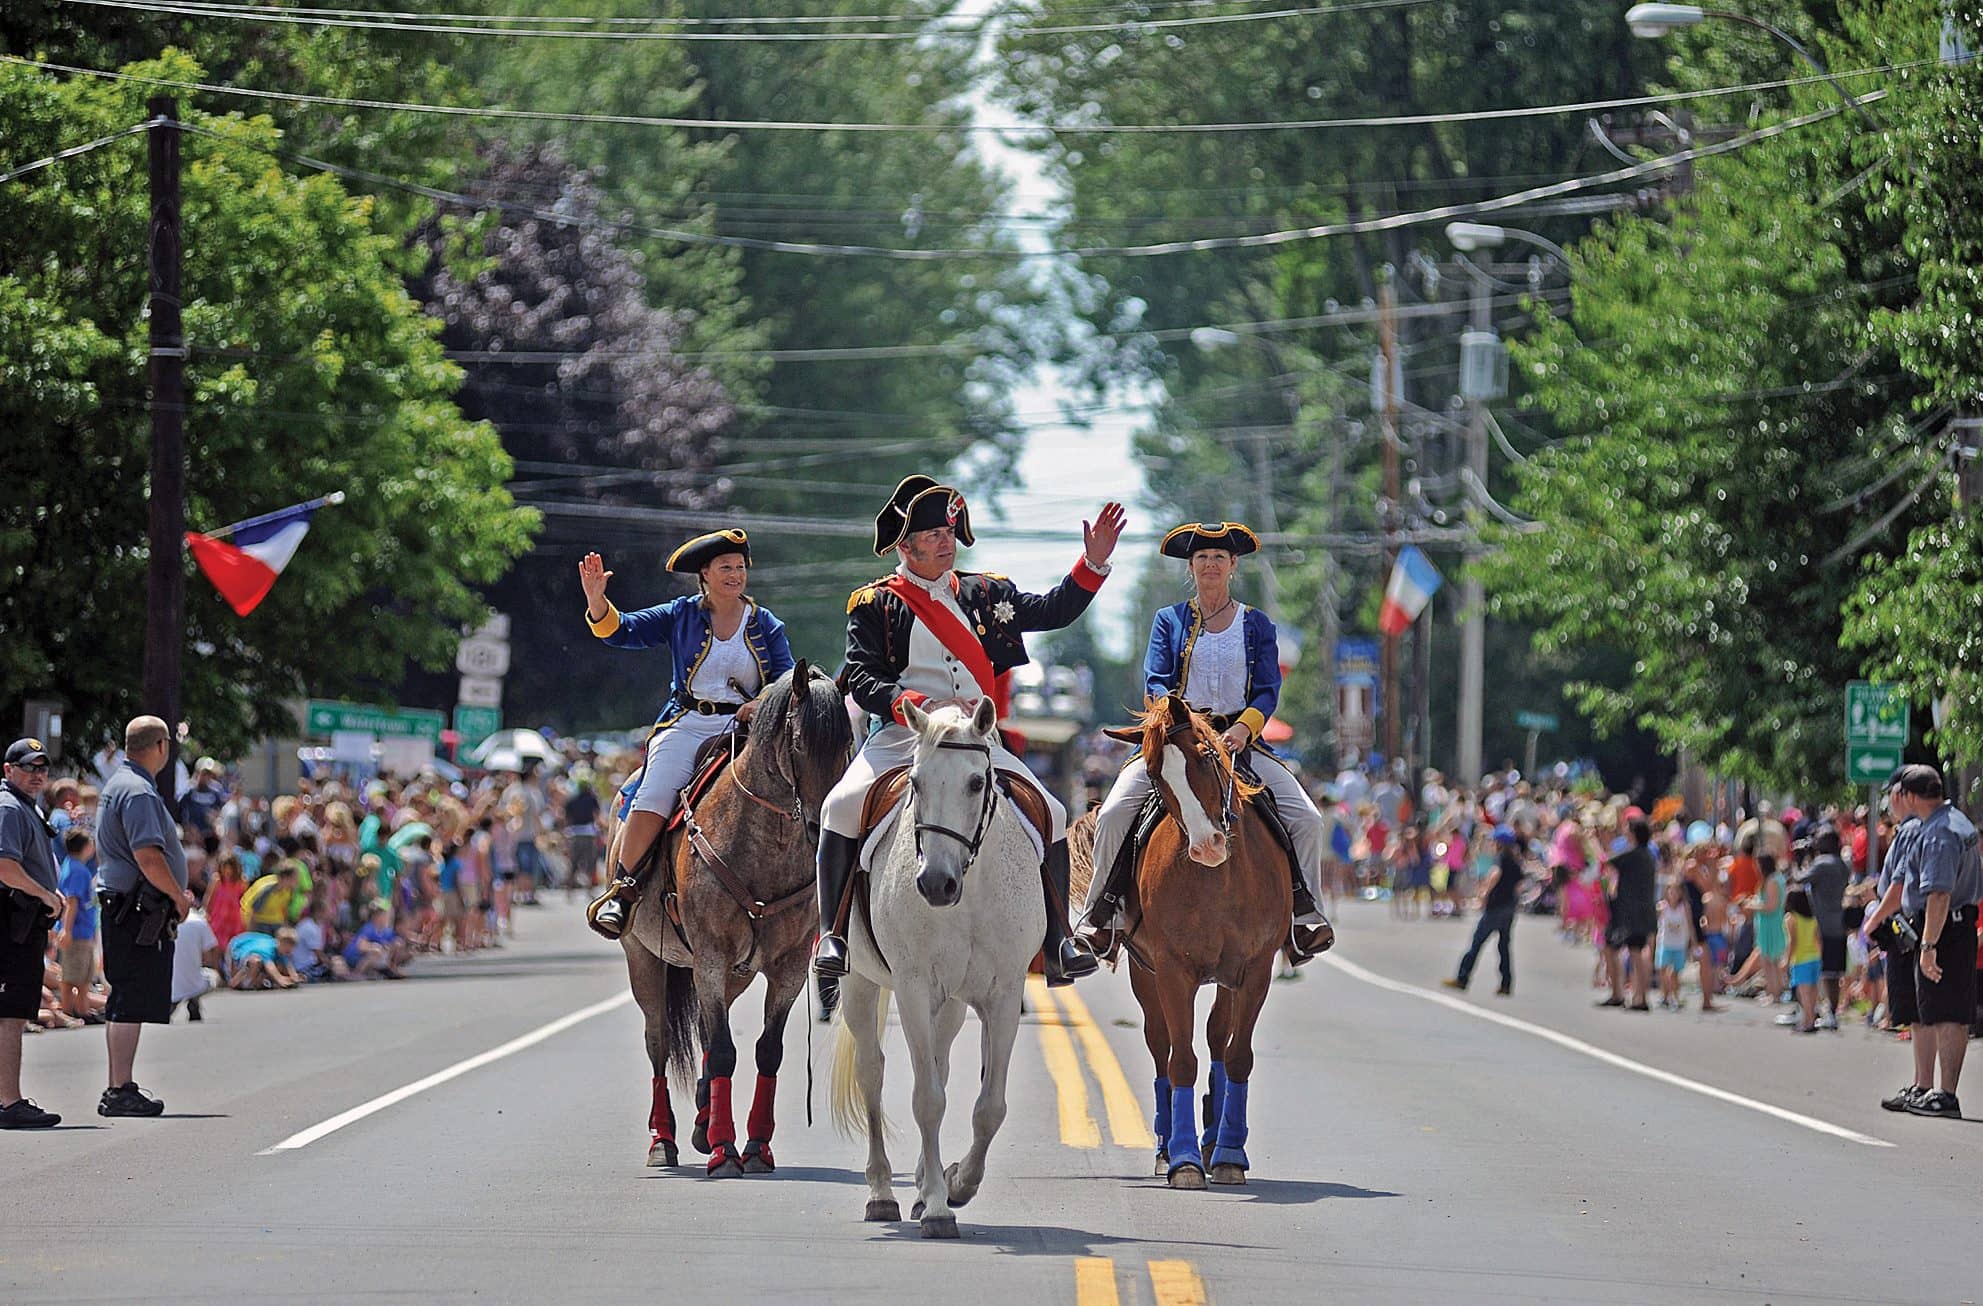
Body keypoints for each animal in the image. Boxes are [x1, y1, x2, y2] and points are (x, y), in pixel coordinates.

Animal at [606, 665, 848, 1173]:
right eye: (799, 741)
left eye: (848, 742)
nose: (821, 827)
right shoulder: (711, 956)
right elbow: (722, 1051)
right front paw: (724, 1149)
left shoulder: (788, 967)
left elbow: (765, 1051)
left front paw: (755, 1145)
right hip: (646, 959)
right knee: (658, 1040)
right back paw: (664, 1139)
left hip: (733, 973)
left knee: (701, 1031)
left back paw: (700, 1119)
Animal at [824, 701, 1047, 1244]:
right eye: (916, 782)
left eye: (975, 782)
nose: (935, 884)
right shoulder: (912, 987)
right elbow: (926, 1098)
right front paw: (941, 1209)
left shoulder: (1004, 994)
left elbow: (989, 1107)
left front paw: (956, 1185)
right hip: (860, 984)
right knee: (873, 1072)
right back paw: (883, 1192)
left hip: (950, 1005)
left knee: (941, 1067)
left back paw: (928, 1186)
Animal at [1102, 701, 1284, 1189]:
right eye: (1153, 773)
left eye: (1206, 755)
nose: (1207, 847)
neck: (1218, 879)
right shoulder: (1171, 971)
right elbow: (1180, 1060)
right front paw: (1184, 1161)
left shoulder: (1256, 970)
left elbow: (1238, 1057)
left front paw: (1229, 1153)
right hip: (1144, 975)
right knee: (1161, 1045)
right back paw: (1168, 1147)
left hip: (1227, 979)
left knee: (1219, 1039)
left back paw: (1216, 1138)